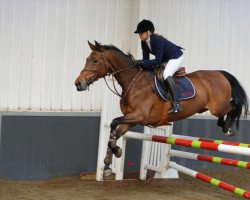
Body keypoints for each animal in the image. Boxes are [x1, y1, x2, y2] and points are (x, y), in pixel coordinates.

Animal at [74, 40, 248, 177]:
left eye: (95, 61)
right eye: (87, 59)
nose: (78, 83)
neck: (134, 82)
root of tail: (219, 73)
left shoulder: (140, 116)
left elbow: (113, 122)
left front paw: (113, 155)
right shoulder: (131, 119)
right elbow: (115, 132)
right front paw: (110, 161)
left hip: (218, 107)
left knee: (234, 105)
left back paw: (228, 128)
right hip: (209, 108)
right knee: (224, 113)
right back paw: (225, 126)